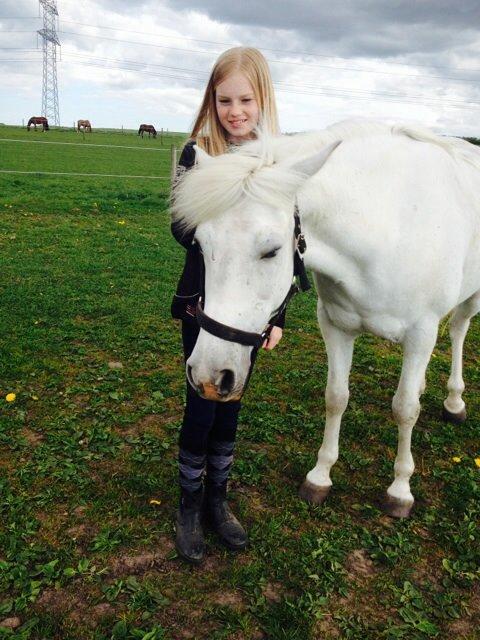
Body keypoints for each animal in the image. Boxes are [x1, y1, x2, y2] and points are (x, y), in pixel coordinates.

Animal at [171, 120, 480, 519]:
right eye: (199, 245)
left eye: (271, 251)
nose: (209, 377)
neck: (385, 227)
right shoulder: (336, 326)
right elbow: (336, 397)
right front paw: (320, 476)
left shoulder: (421, 333)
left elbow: (405, 409)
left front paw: (399, 489)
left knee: (458, 330)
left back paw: (454, 401)